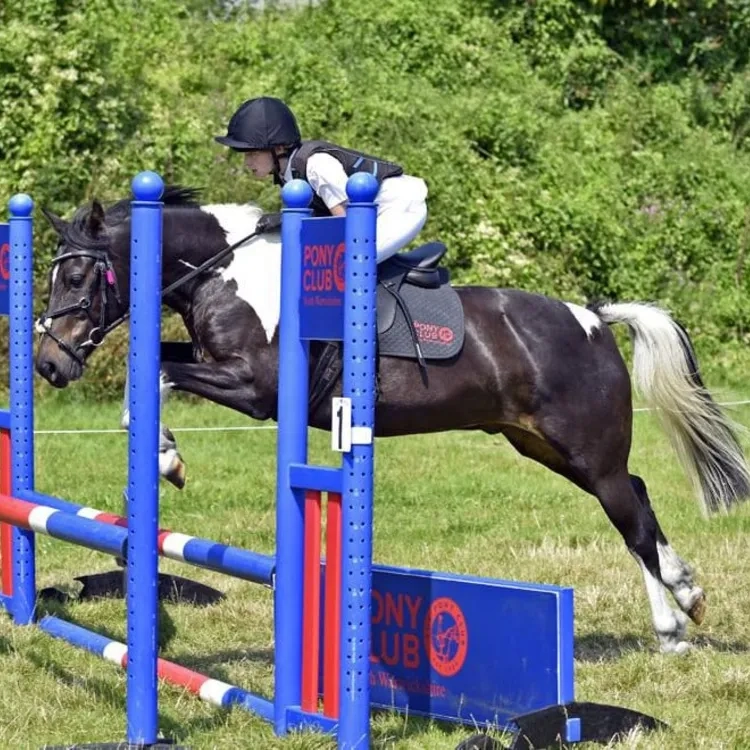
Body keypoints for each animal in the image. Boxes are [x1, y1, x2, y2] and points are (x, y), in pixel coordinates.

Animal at [34, 186, 750, 655]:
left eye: (79, 276)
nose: (48, 364)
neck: (232, 271)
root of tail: (595, 318)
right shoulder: (218, 365)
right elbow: (151, 369)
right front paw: (164, 451)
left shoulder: (256, 388)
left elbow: (156, 374)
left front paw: (165, 457)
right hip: (545, 446)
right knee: (638, 497)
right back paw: (681, 608)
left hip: (586, 451)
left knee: (631, 519)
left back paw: (676, 617)